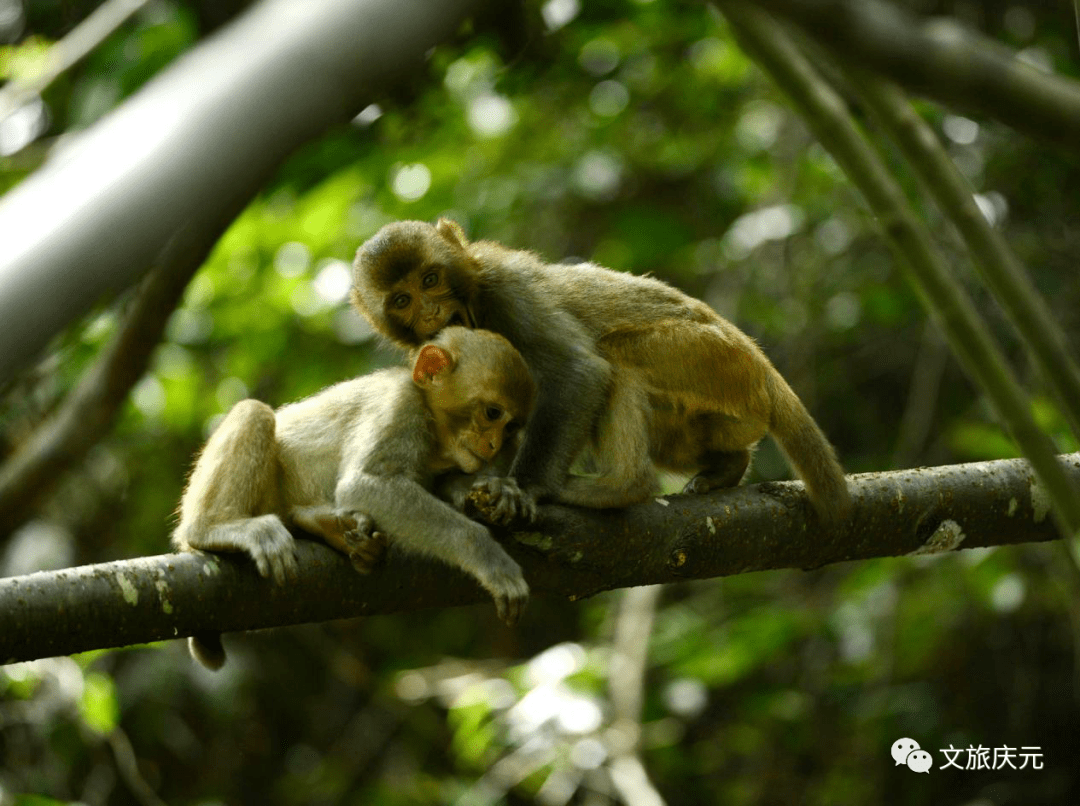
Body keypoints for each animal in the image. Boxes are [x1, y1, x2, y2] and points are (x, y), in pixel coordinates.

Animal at [171, 324, 535, 665]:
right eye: (492, 413)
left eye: (511, 427)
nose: (494, 446)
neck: (432, 427)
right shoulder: (399, 407)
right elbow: (363, 486)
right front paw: (489, 557)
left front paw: (498, 491)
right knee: (254, 412)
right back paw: (215, 527)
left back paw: (327, 527)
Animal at [347, 218, 851, 520]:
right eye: (402, 300)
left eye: (430, 280)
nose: (430, 313)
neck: (474, 299)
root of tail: (761, 365)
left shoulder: (506, 290)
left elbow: (580, 369)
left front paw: (527, 488)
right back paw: (727, 467)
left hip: (712, 360)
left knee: (616, 357)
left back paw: (622, 488)